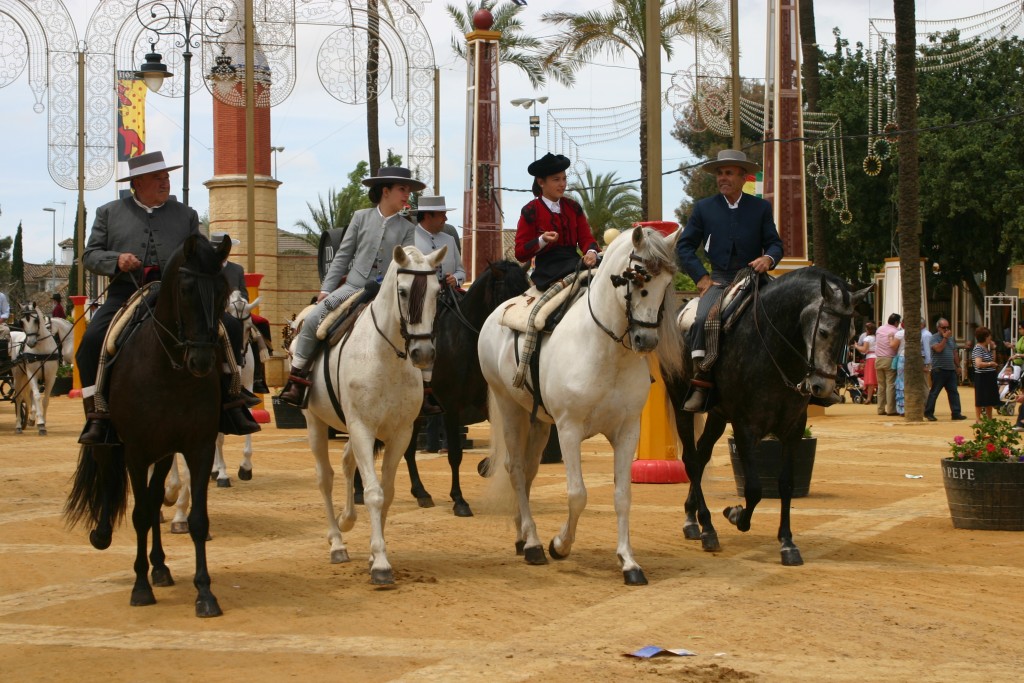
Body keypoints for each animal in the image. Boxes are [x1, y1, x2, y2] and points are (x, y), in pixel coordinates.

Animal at [12, 301, 74, 436]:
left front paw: (43, 422)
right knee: (19, 398)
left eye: (36, 321)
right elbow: (36, 396)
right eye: (22, 322)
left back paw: (31, 418)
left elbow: (45, 399)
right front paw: (40, 424)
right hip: (18, 375)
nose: (30, 343)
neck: (41, 350)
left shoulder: (50, 377)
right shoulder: (32, 374)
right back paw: (18, 425)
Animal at [65, 236, 231, 618]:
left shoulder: (197, 448)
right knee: (109, 477)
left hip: (165, 452)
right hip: (111, 443)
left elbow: (196, 519)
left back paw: (160, 566)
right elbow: (139, 514)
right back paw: (104, 535)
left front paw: (205, 592)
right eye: (185, 290)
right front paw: (140, 587)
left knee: (155, 499)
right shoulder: (137, 452)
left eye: (223, 290)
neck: (171, 373)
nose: (201, 360)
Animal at [303, 242, 448, 585]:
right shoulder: (362, 428)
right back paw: (337, 542)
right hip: (316, 423)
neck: (386, 357)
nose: (423, 353)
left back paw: (346, 520)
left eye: (437, 293)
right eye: (403, 291)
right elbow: (373, 493)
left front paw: (374, 553)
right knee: (325, 478)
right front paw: (380, 562)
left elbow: (389, 492)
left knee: (346, 463)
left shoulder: (400, 434)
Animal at [475, 225, 684, 589]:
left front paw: (628, 561)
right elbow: (577, 494)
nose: (646, 341)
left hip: (539, 422)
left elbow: (623, 496)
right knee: (515, 469)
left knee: (528, 472)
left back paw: (522, 534)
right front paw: (559, 545)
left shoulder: (627, 431)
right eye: (636, 277)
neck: (606, 349)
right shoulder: (569, 430)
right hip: (510, 409)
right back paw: (533, 544)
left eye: (667, 283)